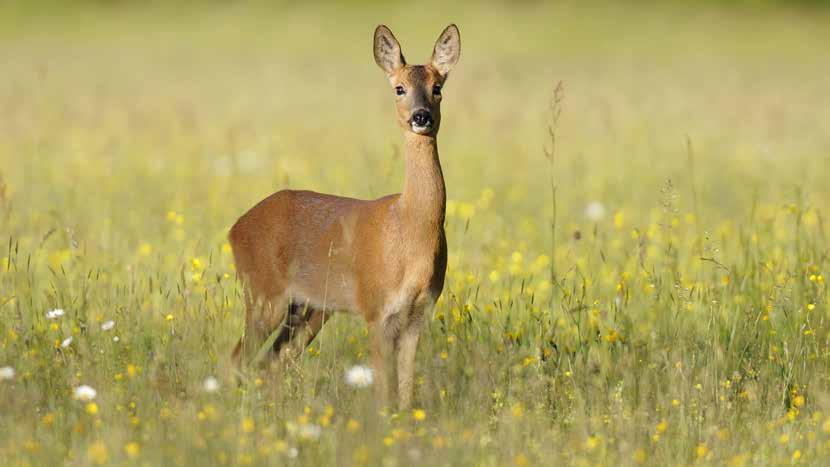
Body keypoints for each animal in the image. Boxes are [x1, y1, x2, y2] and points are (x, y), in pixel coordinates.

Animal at [229, 24, 462, 410]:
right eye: (399, 88)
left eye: (438, 88)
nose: (421, 117)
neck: (409, 229)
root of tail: (234, 228)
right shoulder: (376, 308)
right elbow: (383, 391)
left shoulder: (418, 315)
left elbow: (405, 392)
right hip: (263, 294)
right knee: (238, 359)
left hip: (310, 308)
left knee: (275, 359)